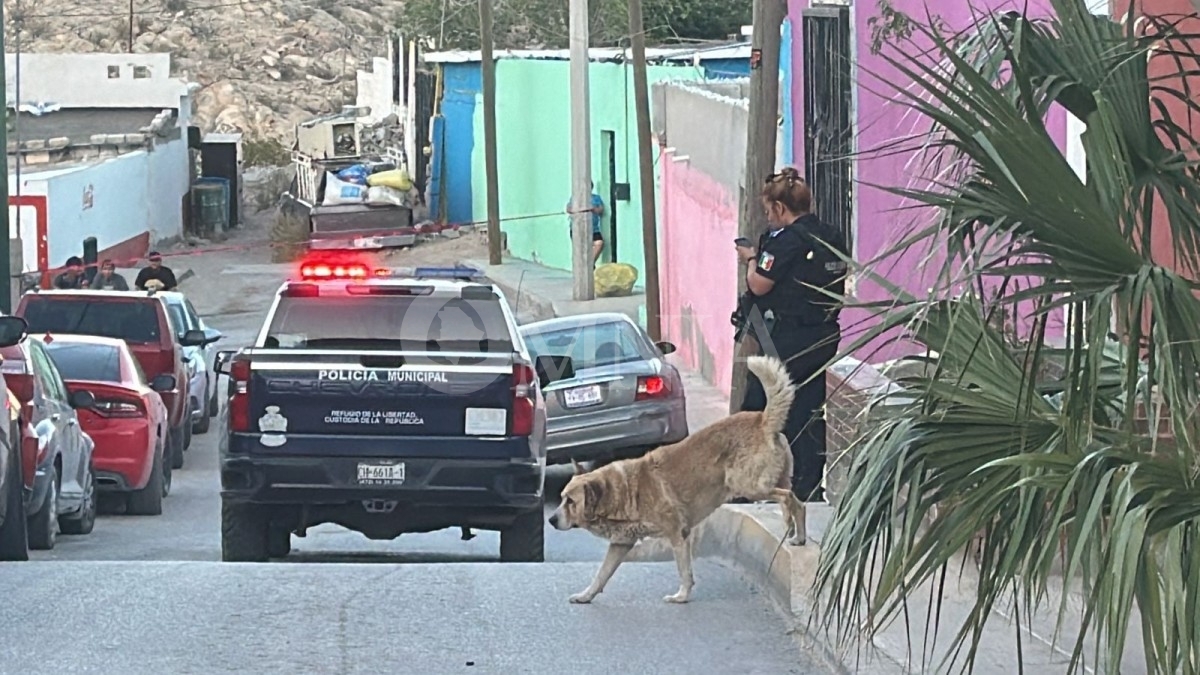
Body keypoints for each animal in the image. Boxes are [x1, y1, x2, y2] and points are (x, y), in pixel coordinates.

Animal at [549, 355, 811, 600]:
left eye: (570, 501)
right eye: (562, 499)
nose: (550, 520)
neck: (622, 493)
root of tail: (762, 420)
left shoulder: (677, 533)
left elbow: (684, 570)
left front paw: (682, 596)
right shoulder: (620, 544)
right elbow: (601, 574)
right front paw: (586, 595)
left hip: (749, 486)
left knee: (789, 498)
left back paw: (794, 528)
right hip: (772, 480)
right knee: (795, 502)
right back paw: (796, 533)